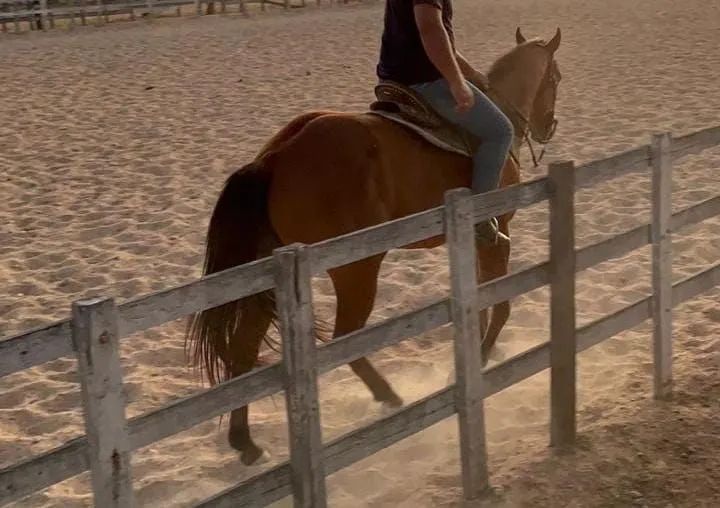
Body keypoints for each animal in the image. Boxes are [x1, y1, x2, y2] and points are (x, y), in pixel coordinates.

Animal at [186, 27, 563, 465]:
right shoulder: (497, 231)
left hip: (268, 277)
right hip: (357, 268)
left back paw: (245, 442)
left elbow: (482, 299)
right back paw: (390, 397)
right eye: (555, 77)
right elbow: (500, 303)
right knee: (345, 340)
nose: (548, 125)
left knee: (245, 348)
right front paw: (482, 357)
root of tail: (276, 156)